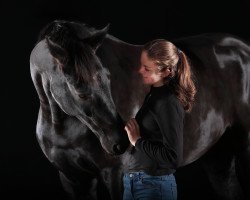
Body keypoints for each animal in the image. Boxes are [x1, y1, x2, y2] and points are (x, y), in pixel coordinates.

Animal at [29, 20, 250, 200]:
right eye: (79, 90)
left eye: (108, 78)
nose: (120, 142)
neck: (64, 127)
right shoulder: (73, 180)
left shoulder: (116, 174)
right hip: (218, 159)